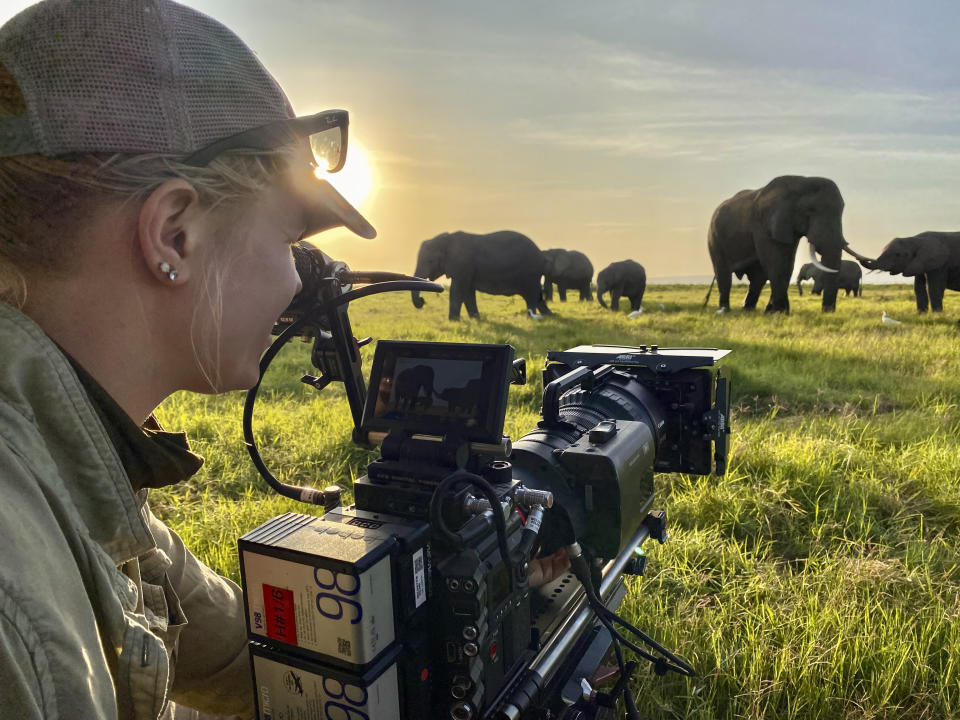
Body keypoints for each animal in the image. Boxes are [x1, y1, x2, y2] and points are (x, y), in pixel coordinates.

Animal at [410, 231, 552, 320]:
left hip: (530, 272)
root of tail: (542, 256)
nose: (423, 301)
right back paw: (550, 316)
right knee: (537, 296)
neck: (447, 239)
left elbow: (458, 290)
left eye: (430, 261)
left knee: (532, 295)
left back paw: (533, 318)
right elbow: (468, 293)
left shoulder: (462, 264)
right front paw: (475, 319)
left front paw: (453, 321)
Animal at [704, 176, 872, 314]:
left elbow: (787, 263)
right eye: (810, 211)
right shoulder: (764, 225)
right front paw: (778, 312)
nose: (827, 311)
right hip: (714, 238)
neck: (801, 182)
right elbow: (776, 263)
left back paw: (747, 310)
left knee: (757, 278)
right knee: (724, 273)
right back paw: (726, 310)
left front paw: (775, 312)